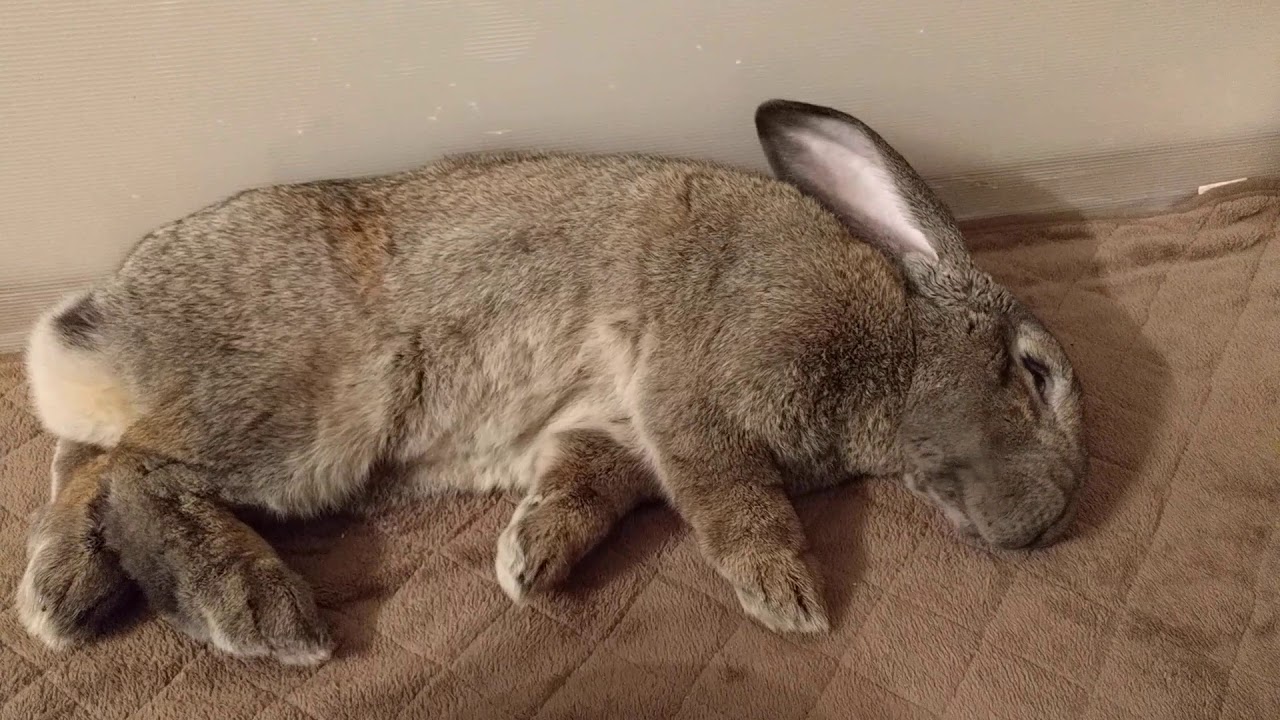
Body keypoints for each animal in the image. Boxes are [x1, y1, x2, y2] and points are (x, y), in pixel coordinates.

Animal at [16, 99, 1087, 665]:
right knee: (139, 473)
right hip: (307, 420)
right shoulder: (699, 388)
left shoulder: (615, 436)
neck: (900, 341)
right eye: (1033, 373)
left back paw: (60, 595)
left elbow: (583, 488)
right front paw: (787, 596)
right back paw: (259, 614)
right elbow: (735, 499)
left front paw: (529, 562)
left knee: (84, 466)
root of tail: (96, 324)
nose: (1044, 531)